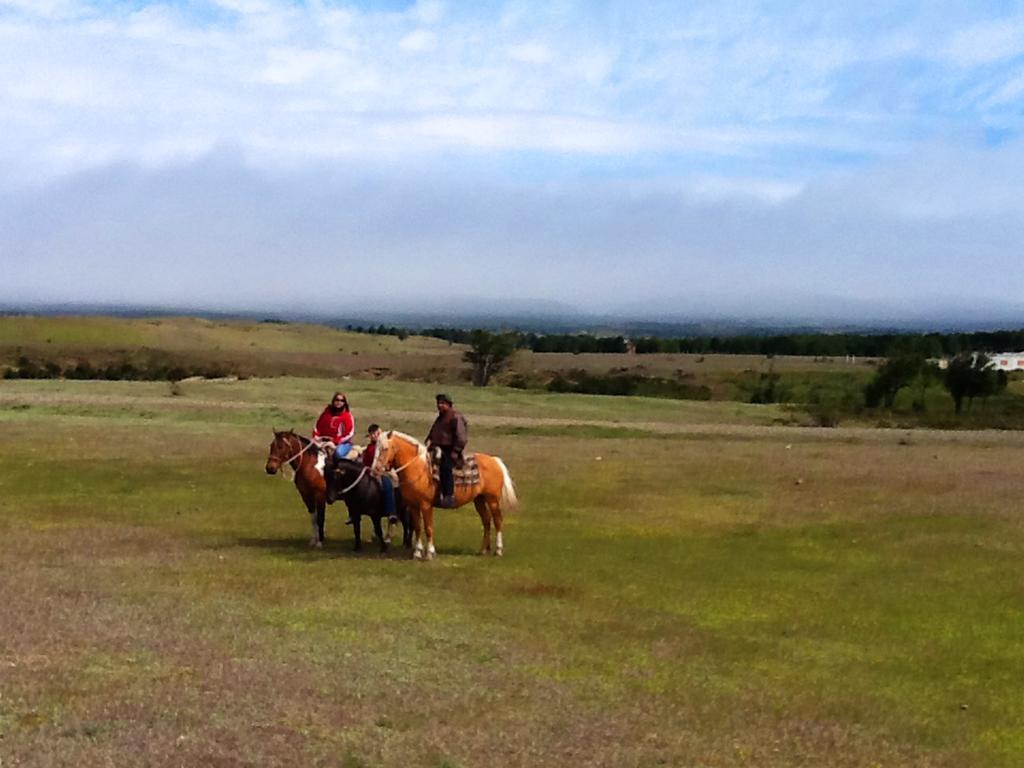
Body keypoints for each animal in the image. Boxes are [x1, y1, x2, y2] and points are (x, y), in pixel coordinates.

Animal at [370, 434, 520, 561]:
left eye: (385, 448)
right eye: (375, 447)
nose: (375, 469)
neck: (418, 468)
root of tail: (494, 460)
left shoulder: (425, 505)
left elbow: (428, 528)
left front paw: (430, 553)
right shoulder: (413, 505)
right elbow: (417, 527)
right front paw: (417, 553)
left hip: (492, 499)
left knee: (497, 520)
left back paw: (498, 550)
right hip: (479, 500)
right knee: (486, 521)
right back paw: (483, 550)